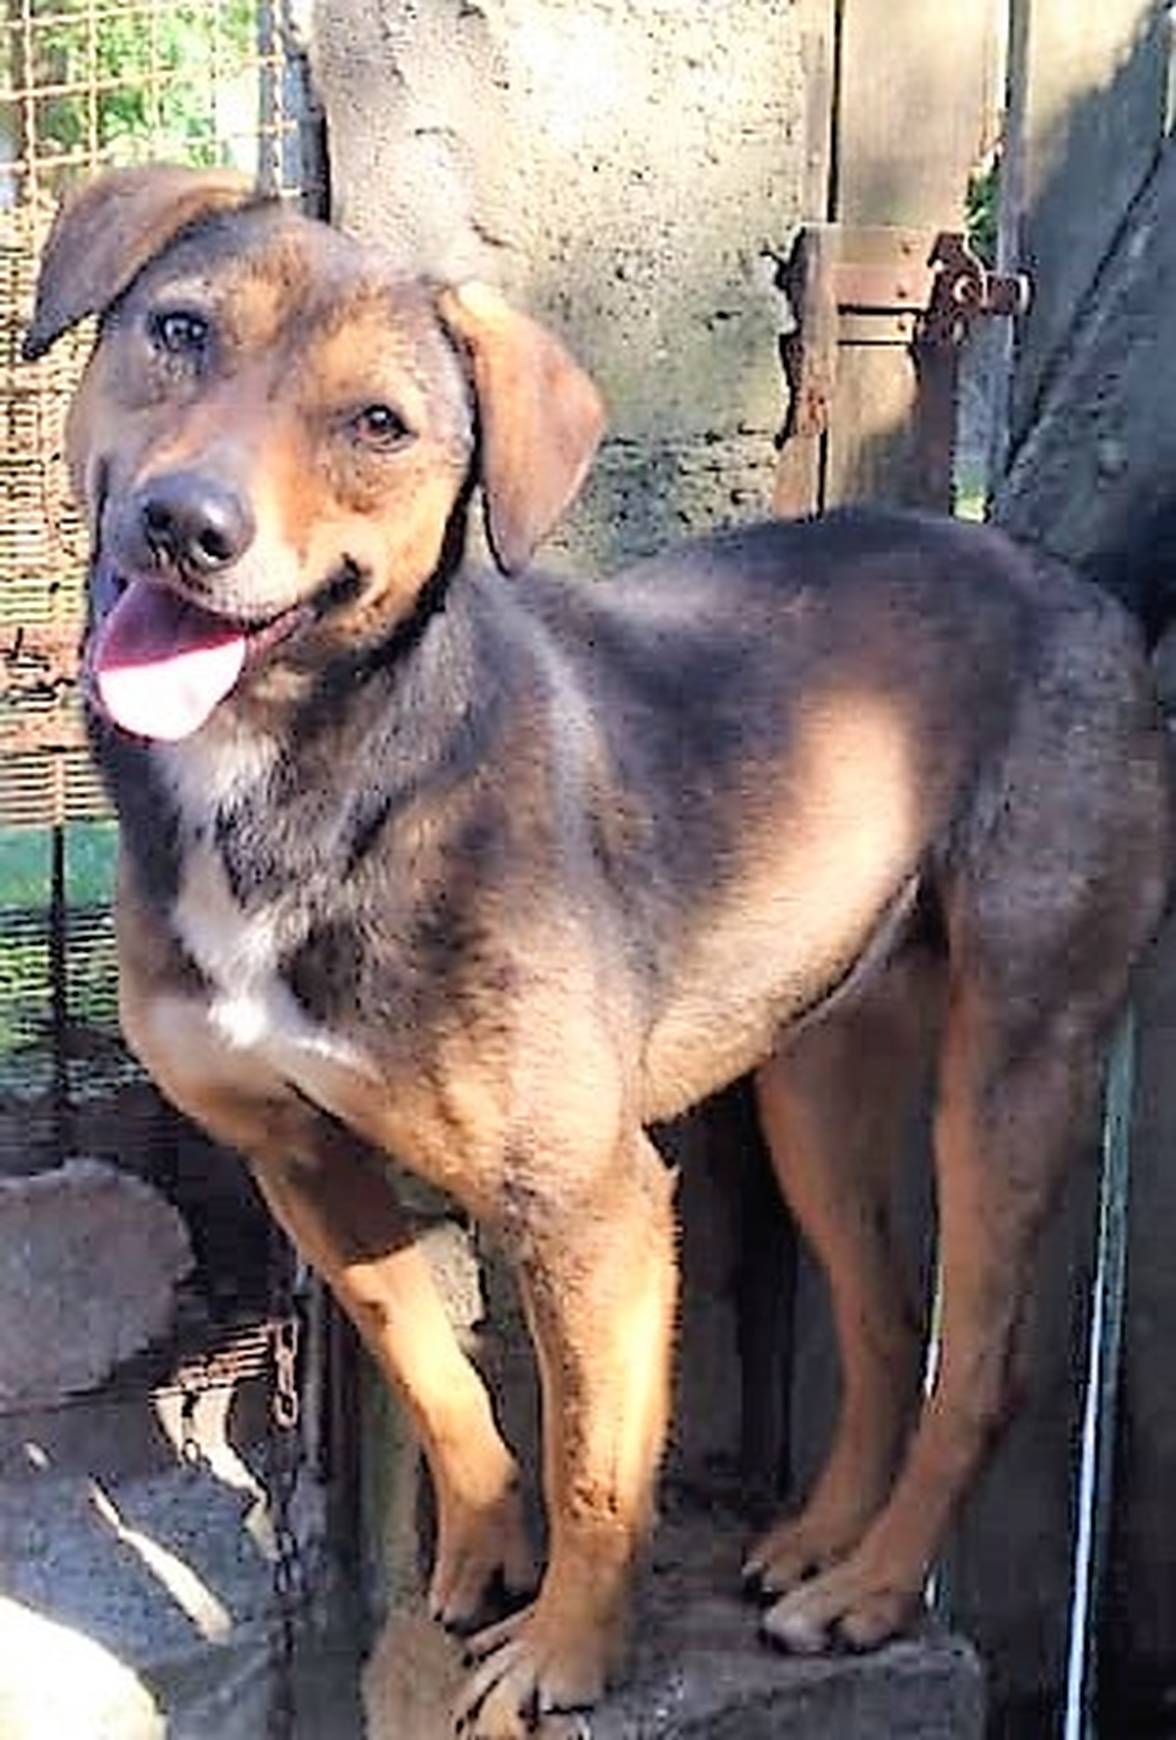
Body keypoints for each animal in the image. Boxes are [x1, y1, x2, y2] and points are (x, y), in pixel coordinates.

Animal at [26, 165, 1171, 1737]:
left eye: (378, 424)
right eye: (181, 331)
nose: (183, 522)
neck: (310, 777)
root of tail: (1089, 590)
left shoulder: (595, 1203)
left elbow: (596, 1461)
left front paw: (563, 1655)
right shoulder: (297, 1157)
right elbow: (433, 1372)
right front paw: (483, 1553)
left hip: (1013, 1066)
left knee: (980, 1364)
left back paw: (875, 1591)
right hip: (809, 1087)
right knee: (883, 1325)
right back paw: (823, 1542)